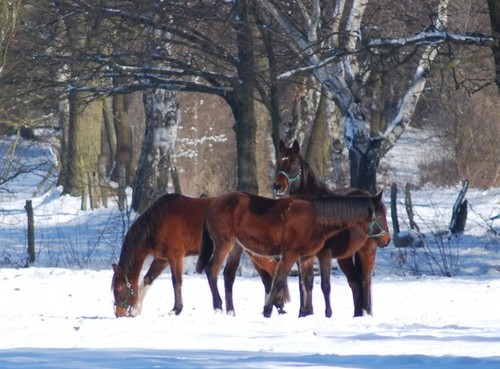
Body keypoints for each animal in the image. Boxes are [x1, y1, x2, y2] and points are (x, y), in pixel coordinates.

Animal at [109, 193, 290, 316]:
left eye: (118, 288)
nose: (118, 313)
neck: (158, 221)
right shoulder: (161, 259)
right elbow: (147, 279)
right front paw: (136, 309)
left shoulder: (175, 256)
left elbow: (176, 281)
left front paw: (176, 309)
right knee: (266, 278)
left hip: (254, 252)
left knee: (272, 271)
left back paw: (278, 305)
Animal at [194, 190, 386, 316]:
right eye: (381, 215)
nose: (387, 239)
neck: (313, 217)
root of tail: (212, 203)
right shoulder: (290, 254)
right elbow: (279, 281)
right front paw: (267, 310)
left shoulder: (306, 257)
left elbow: (307, 283)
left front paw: (306, 313)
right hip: (223, 244)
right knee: (212, 270)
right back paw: (218, 307)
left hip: (236, 247)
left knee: (228, 276)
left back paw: (230, 311)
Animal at [274, 139, 390, 316]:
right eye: (279, 162)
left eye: (293, 163)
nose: (278, 186)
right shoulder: (302, 255)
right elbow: (305, 284)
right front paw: (304, 313)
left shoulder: (325, 254)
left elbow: (325, 285)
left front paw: (328, 314)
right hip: (345, 257)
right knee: (355, 282)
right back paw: (357, 315)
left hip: (367, 251)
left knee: (365, 280)